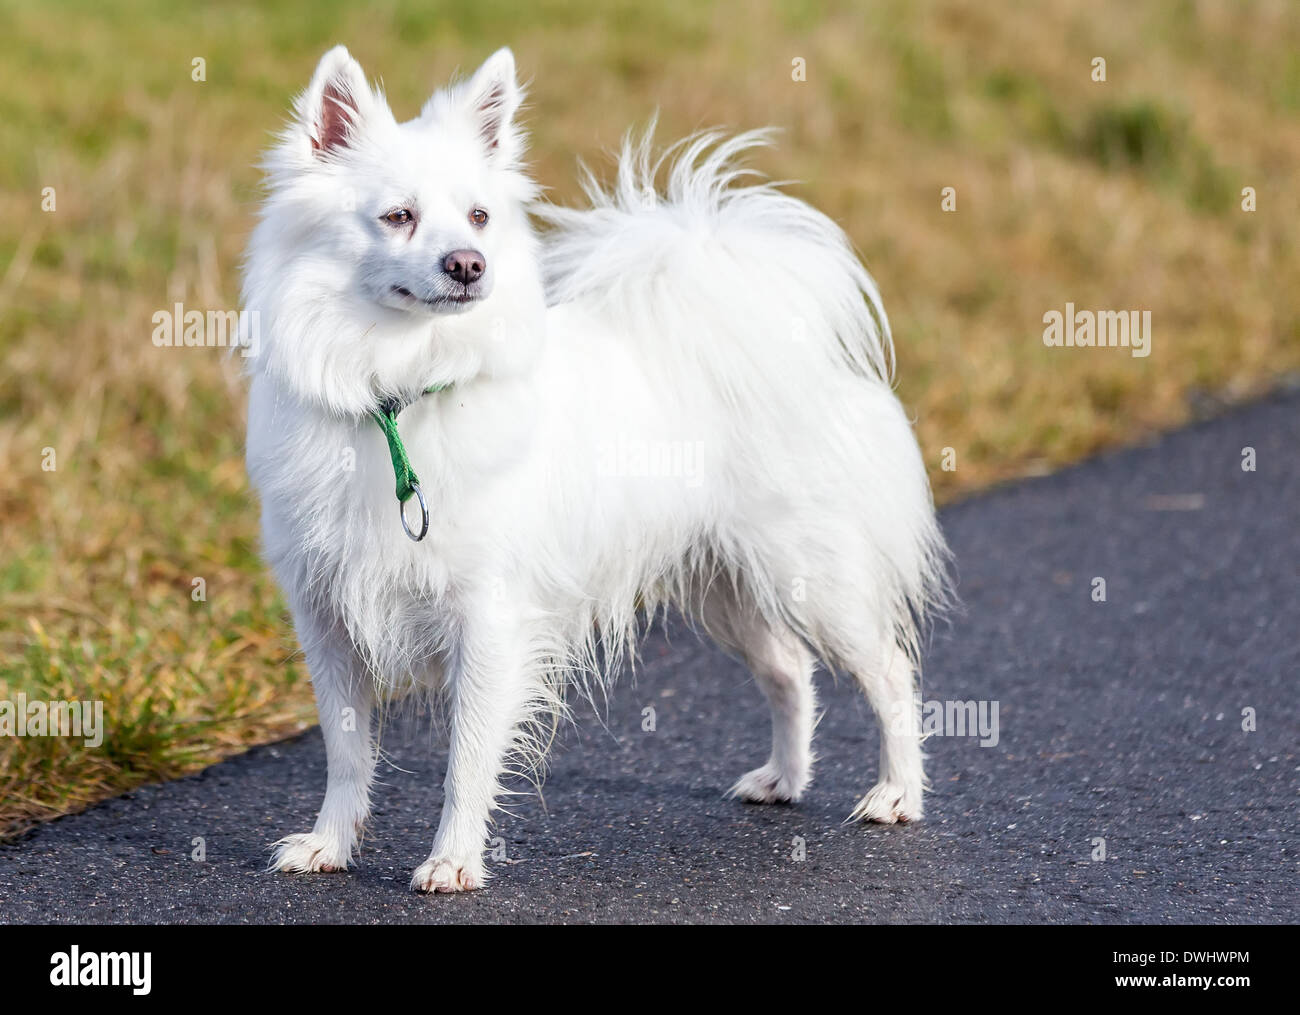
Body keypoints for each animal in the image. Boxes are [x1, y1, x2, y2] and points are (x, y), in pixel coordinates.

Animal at [244, 45, 951, 894]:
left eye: (479, 218)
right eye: (398, 216)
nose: (470, 265)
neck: (400, 393)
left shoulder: (489, 622)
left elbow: (467, 758)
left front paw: (454, 859)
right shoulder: (329, 620)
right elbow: (347, 754)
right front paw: (330, 843)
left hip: (810, 577)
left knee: (889, 671)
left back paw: (898, 792)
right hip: (725, 583)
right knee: (789, 670)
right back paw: (785, 778)